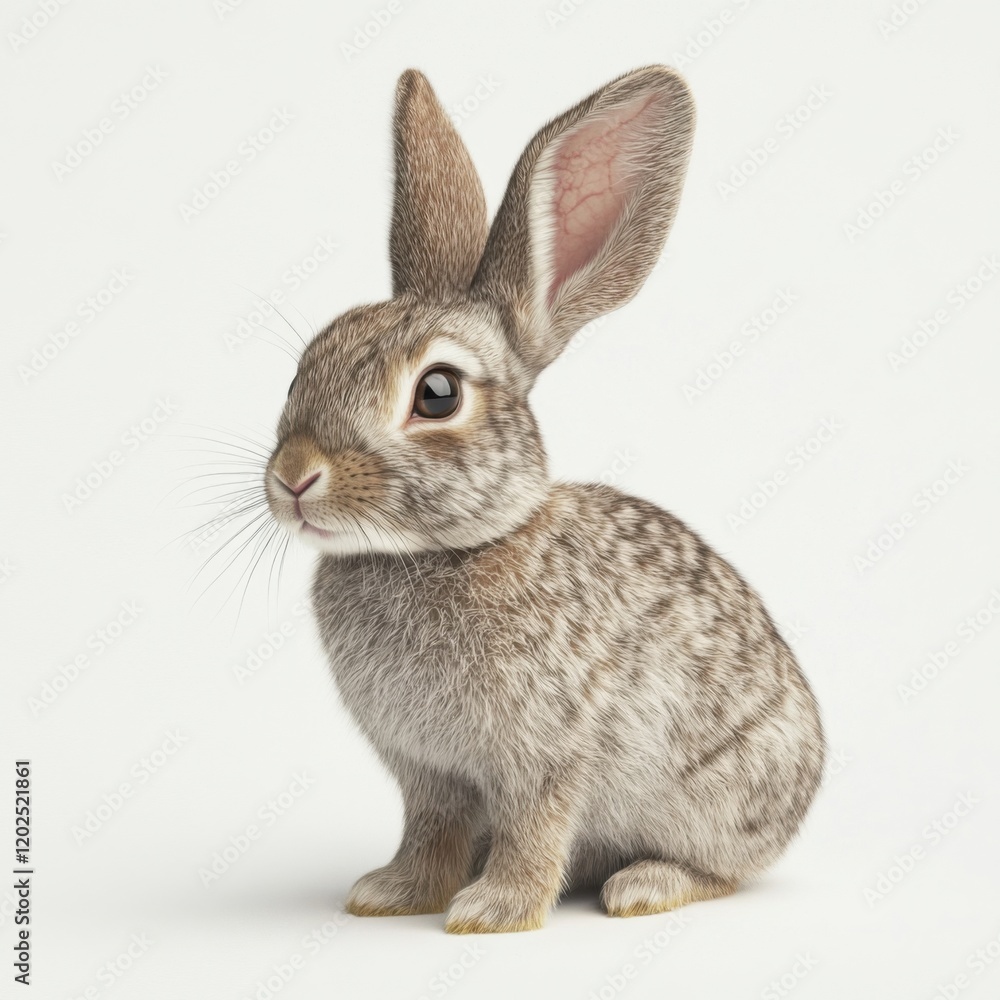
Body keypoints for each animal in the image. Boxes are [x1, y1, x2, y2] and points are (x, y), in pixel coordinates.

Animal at [263, 65, 825, 934]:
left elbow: (534, 829)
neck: (442, 550)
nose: (293, 476)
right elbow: (428, 831)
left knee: (725, 869)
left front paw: (492, 911)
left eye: (437, 393)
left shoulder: (547, 755)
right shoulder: (429, 772)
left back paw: (645, 885)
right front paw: (393, 892)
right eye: (301, 370)